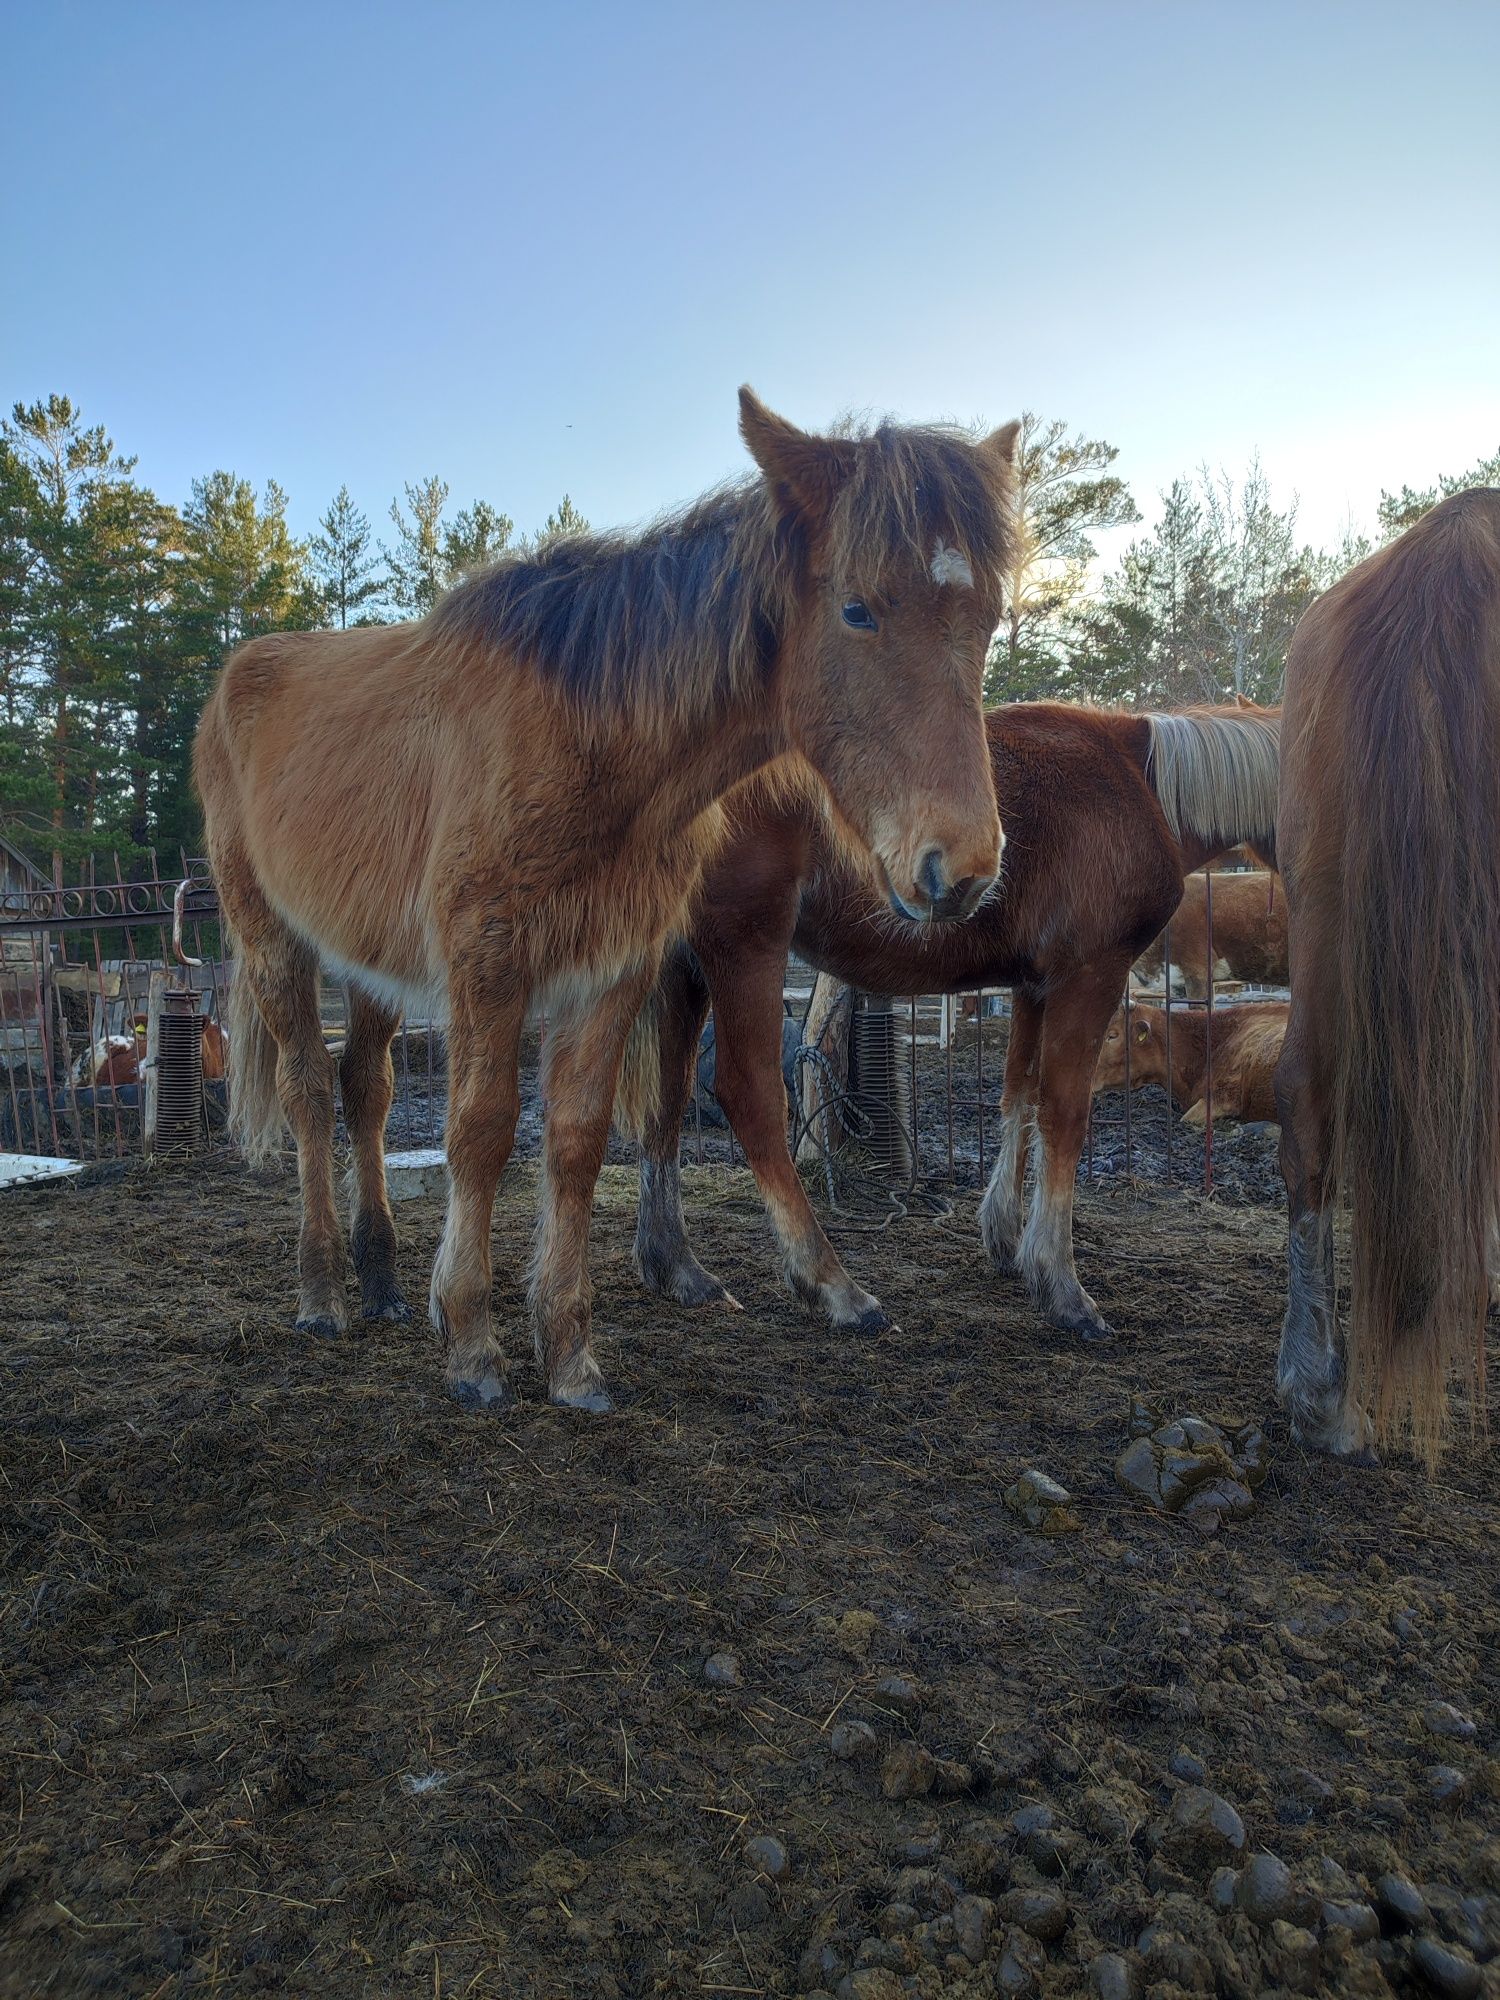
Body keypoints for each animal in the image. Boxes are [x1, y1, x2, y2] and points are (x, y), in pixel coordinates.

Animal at [197, 390, 1024, 1416]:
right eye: (857, 608)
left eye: (988, 617)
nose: (965, 866)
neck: (589, 740)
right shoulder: (491, 961)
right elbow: (481, 1135)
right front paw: (471, 1340)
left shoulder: (613, 969)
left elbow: (579, 1140)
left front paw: (566, 1352)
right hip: (275, 943)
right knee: (311, 1094)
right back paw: (323, 1294)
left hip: (375, 968)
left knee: (367, 1092)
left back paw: (382, 1278)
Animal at [632, 700, 1280, 1344]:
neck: (1137, 781)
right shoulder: (1089, 976)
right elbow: (1063, 1115)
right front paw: (1062, 1285)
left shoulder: (1034, 987)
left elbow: (1020, 1096)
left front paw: (1006, 1240)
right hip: (746, 948)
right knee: (751, 1098)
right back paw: (836, 1288)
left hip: (680, 966)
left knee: (667, 1097)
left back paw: (678, 1269)